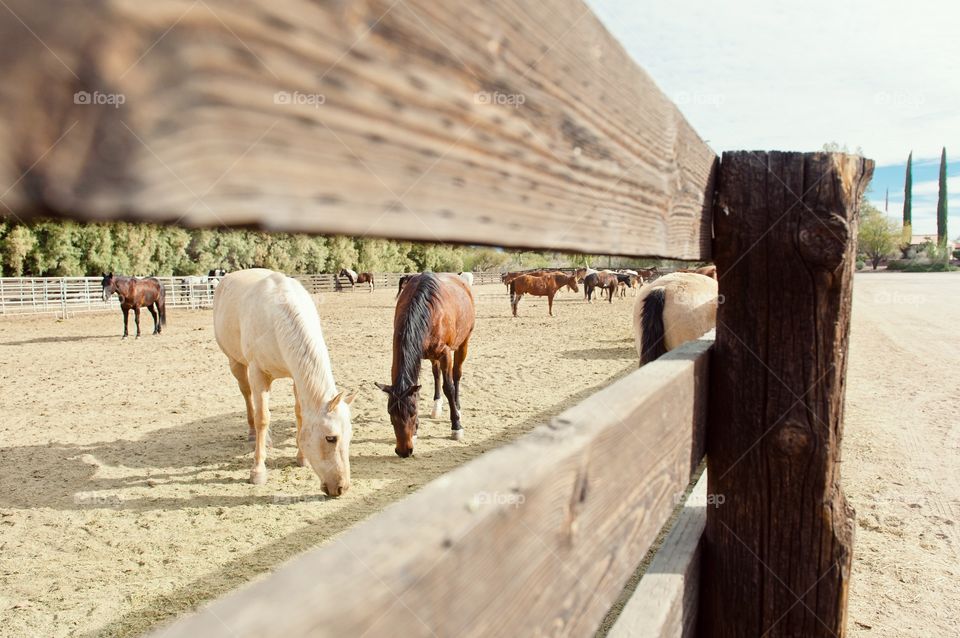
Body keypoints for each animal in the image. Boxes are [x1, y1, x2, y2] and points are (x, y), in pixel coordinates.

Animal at [213, 269, 357, 493]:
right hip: (236, 363)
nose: (341, 488)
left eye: (350, 436)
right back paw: (253, 435)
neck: (277, 319)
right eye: (331, 438)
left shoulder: (296, 376)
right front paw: (258, 471)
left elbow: (299, 414)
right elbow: (262, 417)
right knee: (247, 395)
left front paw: (301, 458)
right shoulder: (257, 373)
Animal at [376, 272, 475, 457]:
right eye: (390, 413)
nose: (403, 451)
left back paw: (457, 406)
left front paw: (456, 426)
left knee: (456, 375)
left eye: (413, 412)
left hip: (463, 343)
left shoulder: (445, 354)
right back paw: (437, 407)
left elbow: (449, 387)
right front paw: (415, 433)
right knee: (436, 375)